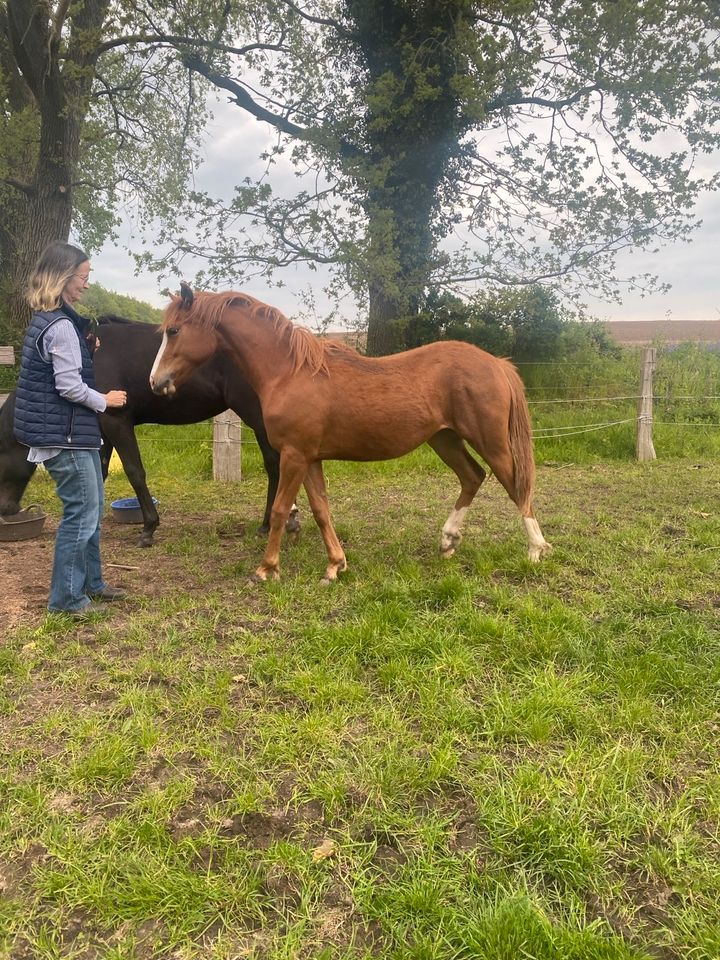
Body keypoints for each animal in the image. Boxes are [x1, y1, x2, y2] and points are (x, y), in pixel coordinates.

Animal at [0, 318, 296, 548]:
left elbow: (134, 472)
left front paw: (148, 529)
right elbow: (100, 472)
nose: (6, 509)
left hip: (257, 418)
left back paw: (268, 524)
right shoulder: (102, 430)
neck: (90, 360)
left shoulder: (117, 423)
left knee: (275, 465)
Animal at [148, 284, 552, 584]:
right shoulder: (310, 459)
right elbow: (321, 510)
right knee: (473, 476)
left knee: (516, 484)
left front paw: (266, 569)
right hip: (444, 438)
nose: (156, 382)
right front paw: (334, 566)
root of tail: (496, 363)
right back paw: (448, 541)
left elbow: (279, 510)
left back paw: (536, 550)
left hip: (491, 441)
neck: (289, 371)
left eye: (174, 330)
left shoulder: (293, 456)